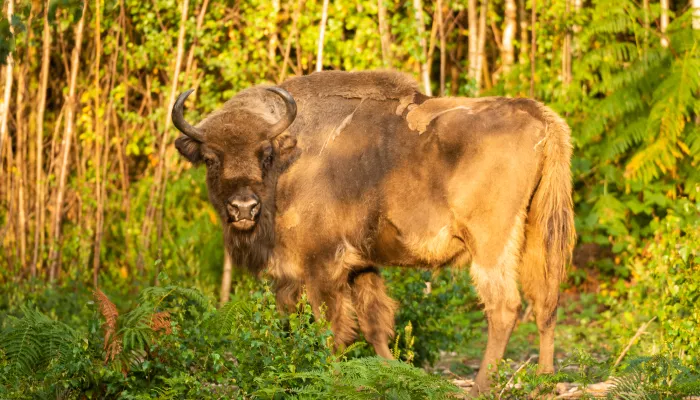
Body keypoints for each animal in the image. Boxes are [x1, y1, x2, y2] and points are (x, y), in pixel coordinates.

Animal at [171, 69, 576, 394]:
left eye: (265, 154)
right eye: (211, 158)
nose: (243, 208)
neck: (291, 159)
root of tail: (540, 116)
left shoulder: (320, 266)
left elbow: (330, 329)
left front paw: (330, 380)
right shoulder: (360, 265)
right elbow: (373, 323)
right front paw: (390, 374)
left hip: (491, 244)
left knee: (504, 307)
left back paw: (480, 387)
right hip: (537, 232)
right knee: (545, 301)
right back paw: (546, 381)